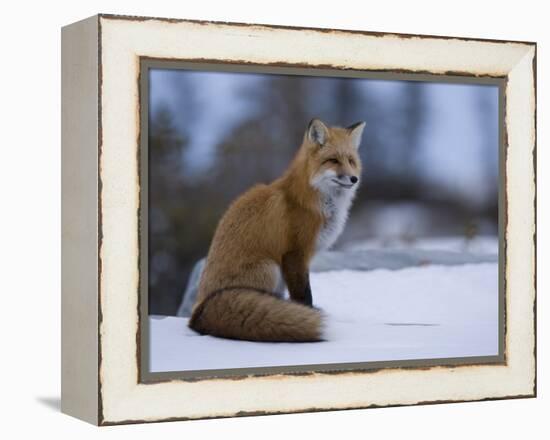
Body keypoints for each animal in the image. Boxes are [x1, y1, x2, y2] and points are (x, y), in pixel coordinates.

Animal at [190, 119, 366, 344]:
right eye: (333, 160)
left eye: (351, 161)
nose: (353, 179)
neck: (311, 200)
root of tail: (198, 312)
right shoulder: (295, 254)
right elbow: (303, 295)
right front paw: (307, 315)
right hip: (270, 268)